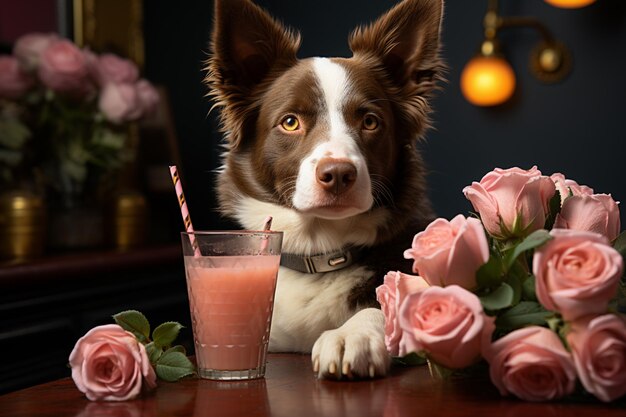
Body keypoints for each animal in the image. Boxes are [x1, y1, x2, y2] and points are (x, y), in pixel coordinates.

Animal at [205, 0, 444, 376]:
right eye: (290, 122)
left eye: (370, 121)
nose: (338, 174)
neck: (319, 251)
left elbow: (387, 306)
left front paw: (352, 335)